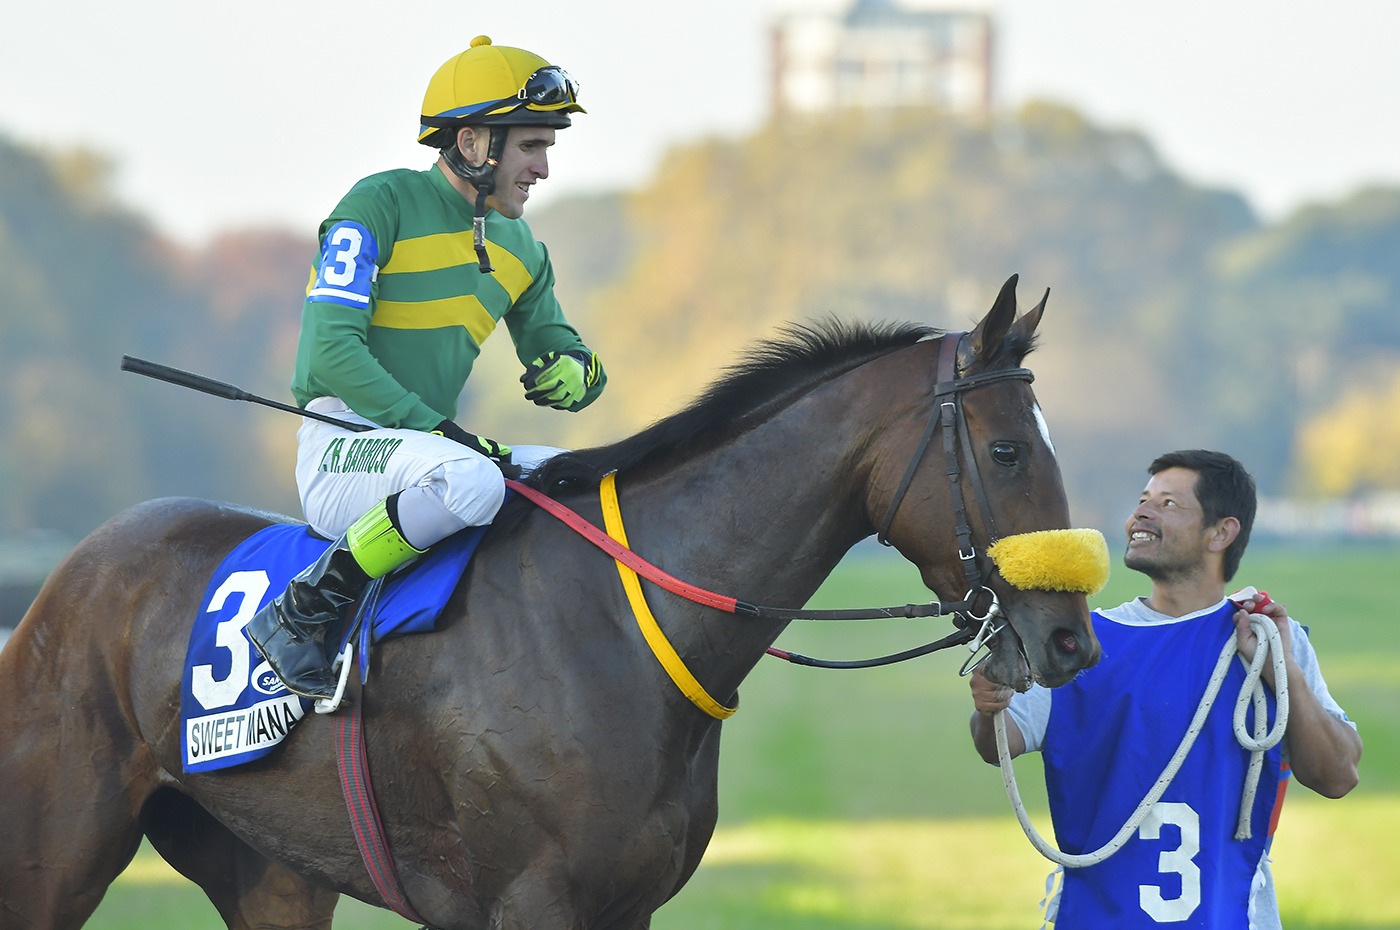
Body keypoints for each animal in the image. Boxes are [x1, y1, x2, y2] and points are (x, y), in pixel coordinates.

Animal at [0, 275, 1101, 929]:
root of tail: (69, 577)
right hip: (57, 853)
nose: (1069, 641)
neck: (623, 626)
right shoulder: (535, 902)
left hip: (268, 869)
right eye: (1008, 450)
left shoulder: (628, 905)